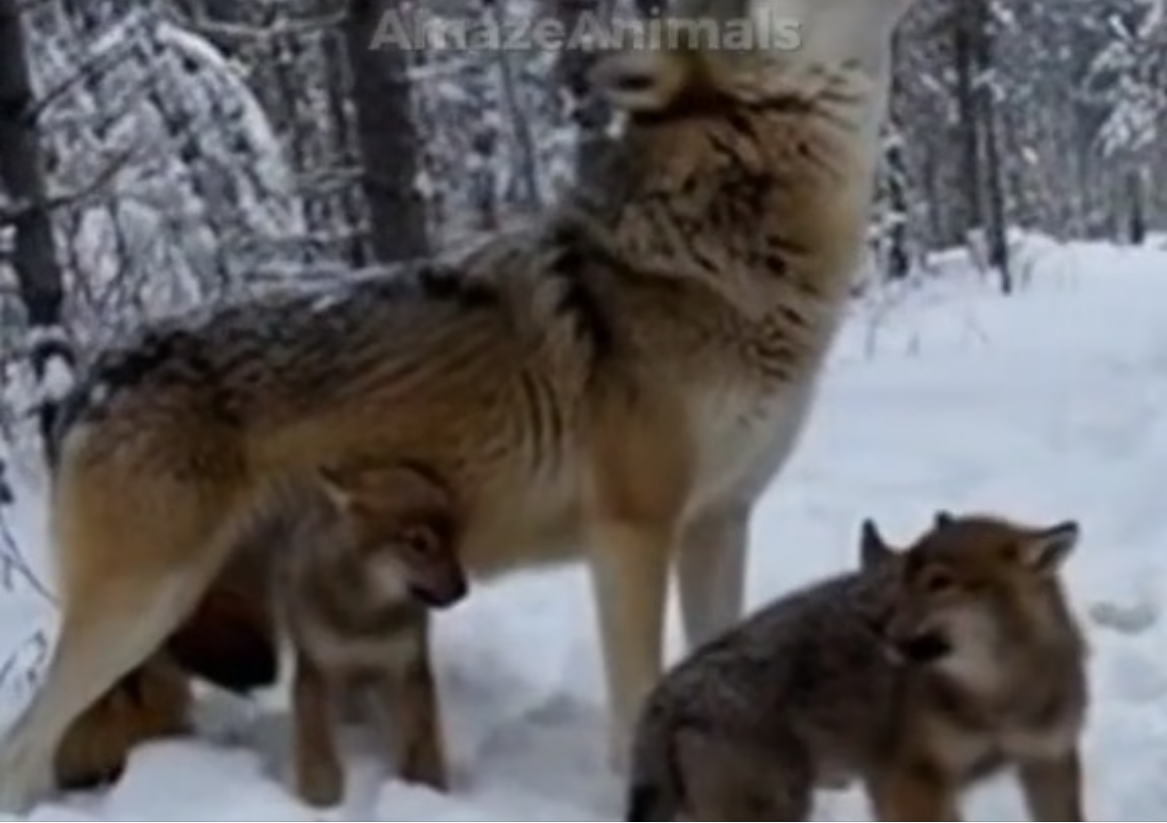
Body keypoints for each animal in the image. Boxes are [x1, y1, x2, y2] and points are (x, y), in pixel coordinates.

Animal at [0, 0, 919, 810]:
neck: (726, 255)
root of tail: (84, 382)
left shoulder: (718, 522)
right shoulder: (630, 532)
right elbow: (639, 685)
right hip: (139, 608)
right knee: (23, 744)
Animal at [625, 512, 1089, 821]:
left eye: (939, 583)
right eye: (905, 576)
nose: (873, 621)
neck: (996, 700)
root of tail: (665, 697)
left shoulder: (1049, 761)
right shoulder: (913, 778)